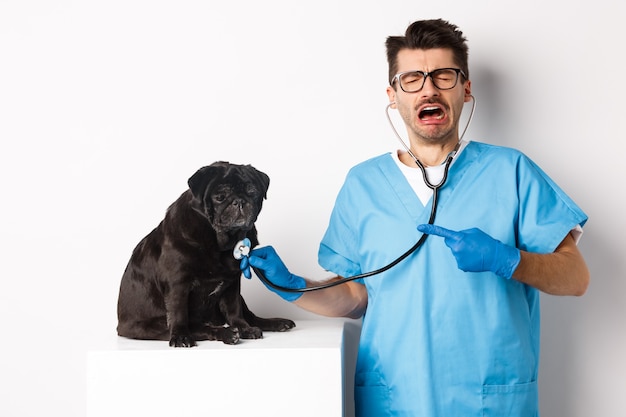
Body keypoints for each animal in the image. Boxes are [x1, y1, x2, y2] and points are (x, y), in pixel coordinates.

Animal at [116, 161, 294, 346]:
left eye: (252, 192)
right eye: (220, 196)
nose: (239, 201)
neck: (220, 242)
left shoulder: (232, 284)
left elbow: (234, 310)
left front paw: (244, 328)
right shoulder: (177, 284)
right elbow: (179, 313)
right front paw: (180, 336)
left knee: (248, 315)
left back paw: (273, 323)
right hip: (152, 325)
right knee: (198, 327)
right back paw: (226, 333)